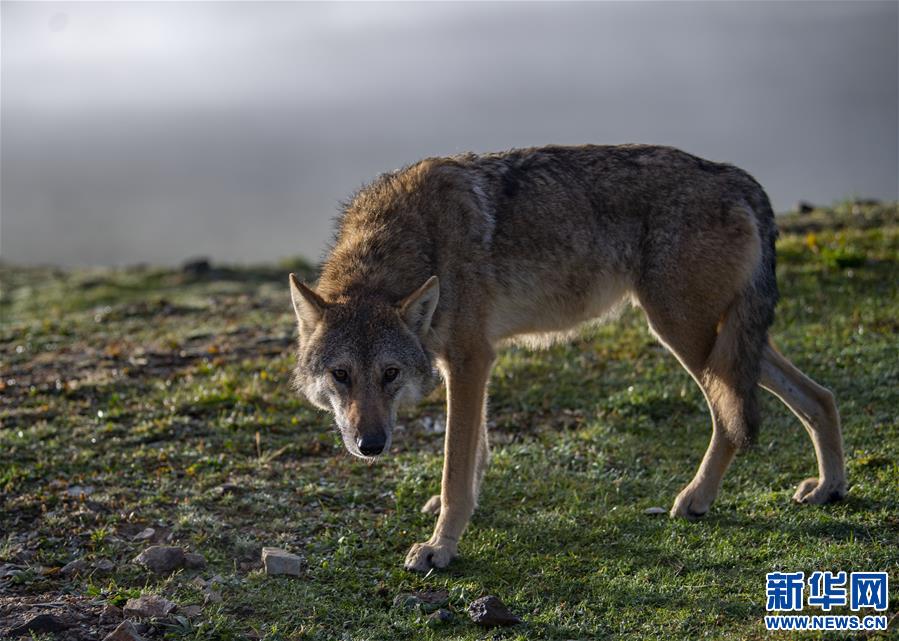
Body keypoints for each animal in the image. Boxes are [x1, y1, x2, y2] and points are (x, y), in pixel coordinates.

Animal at [290, 144, 852, 568]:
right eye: (341, 375)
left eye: (390, 373)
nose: (371, 445)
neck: (414, 240)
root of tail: (739, 178)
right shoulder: (470, 362)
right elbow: (476, 453)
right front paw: (464, 512)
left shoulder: (471, 359)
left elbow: (455, 466)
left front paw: (440, 547)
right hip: (727, 342)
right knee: (820, 396)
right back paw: (829, 487)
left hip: (685, 336)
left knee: (731, 420)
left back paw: (696, 499)